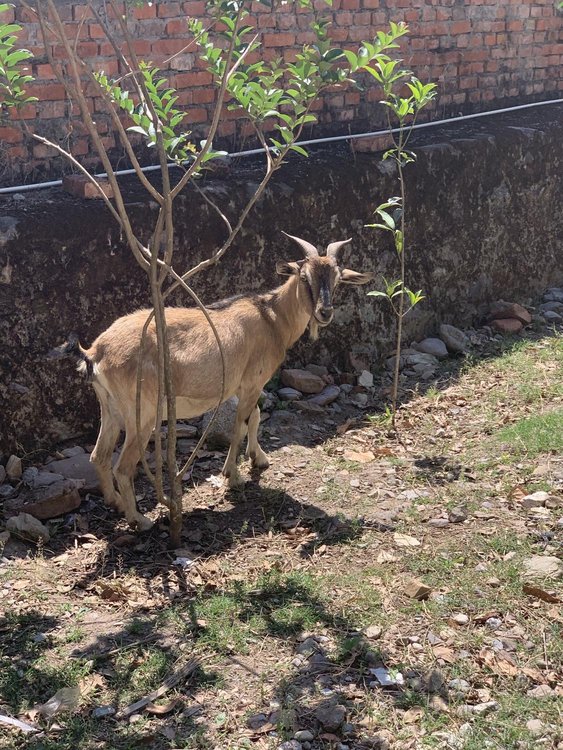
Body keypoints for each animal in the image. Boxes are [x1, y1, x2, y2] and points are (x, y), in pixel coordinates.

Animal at [58, 233, 373, 531]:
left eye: (338, 279)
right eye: (304, 277)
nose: (325, 312)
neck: (271, 318)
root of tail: (95, 351)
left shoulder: (242, 386)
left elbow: (255, 417)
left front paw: (258, 459)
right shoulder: (252, 383)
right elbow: (240, 425)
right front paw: (233, 475)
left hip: (110, 407)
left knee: (98, 456)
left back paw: (116, 504)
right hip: (142, 414)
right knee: (122, 467)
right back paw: (140, 520)